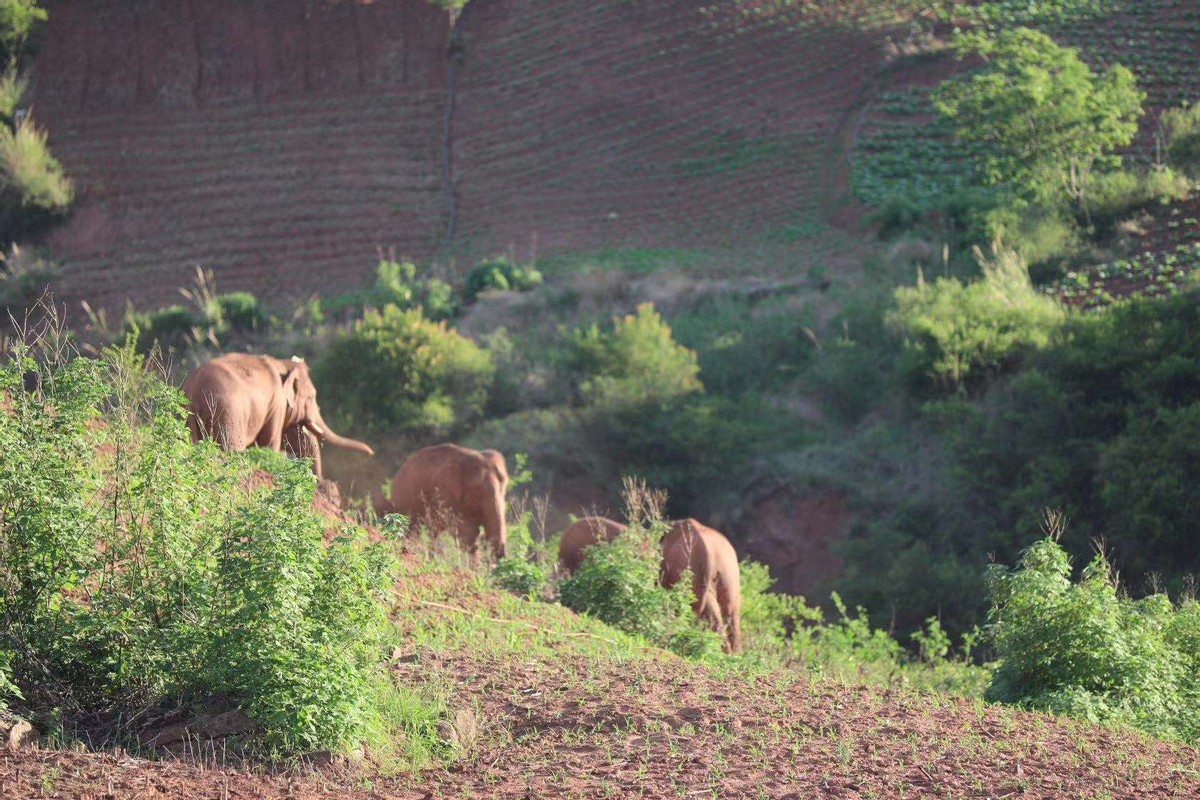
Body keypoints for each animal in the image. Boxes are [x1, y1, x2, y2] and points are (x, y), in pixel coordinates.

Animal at [178, 352, 369, 479]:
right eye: (312, 397)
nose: (370, 452)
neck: (282, 364)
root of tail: (193, 393)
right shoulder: (276, 404)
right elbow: (270, 443)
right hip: (227, 414)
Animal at [374, 443, 506, 556]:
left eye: (504, 486)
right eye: (477, 490)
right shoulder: (446, 492)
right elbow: (467, 532)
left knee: (432, 531)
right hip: (406, 497)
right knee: (413, 527)